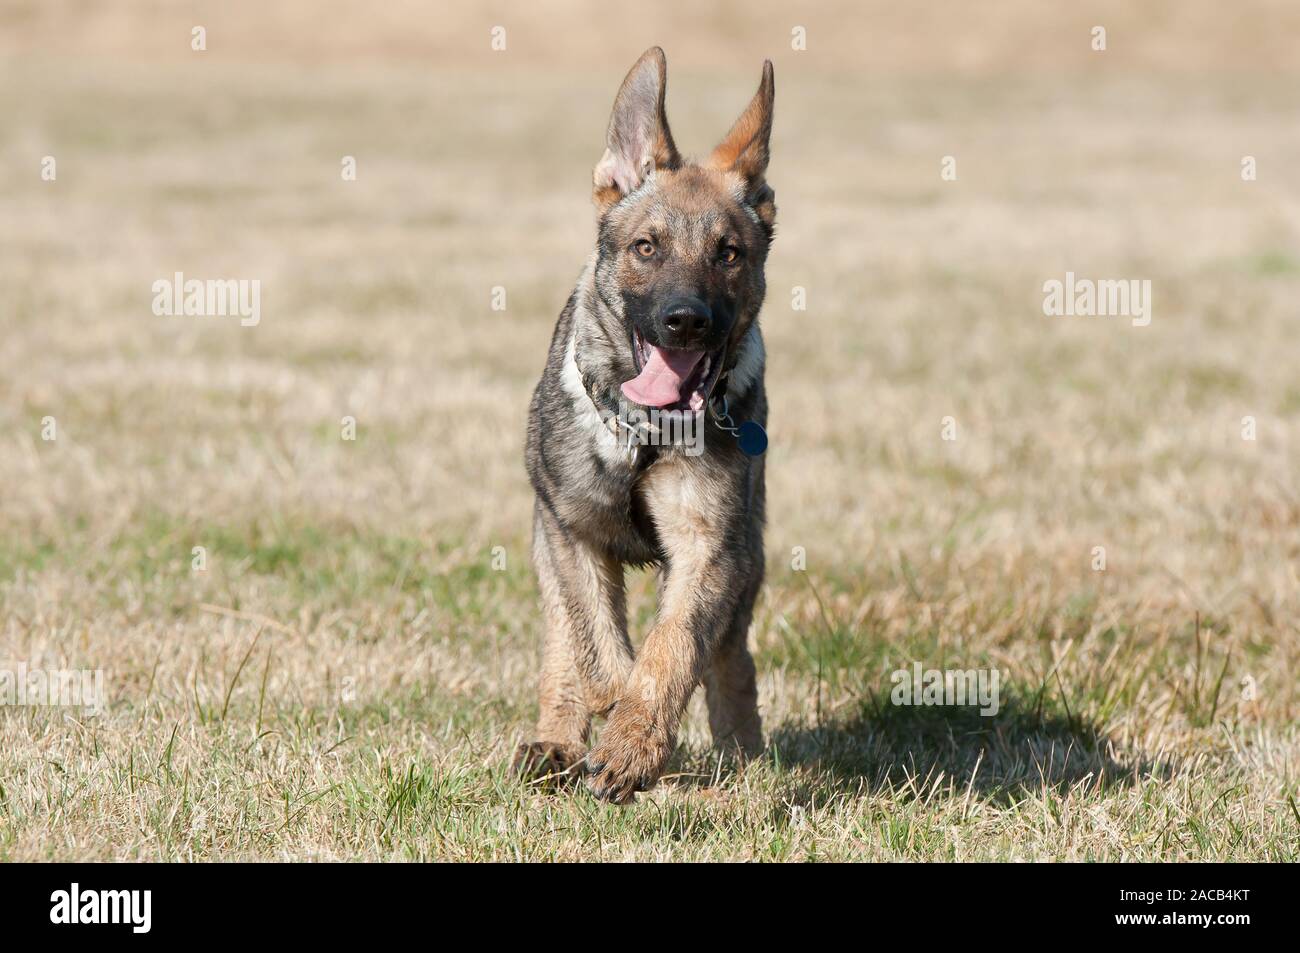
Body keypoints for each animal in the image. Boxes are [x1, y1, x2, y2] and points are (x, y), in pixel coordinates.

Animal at [517, 48, 774, 800]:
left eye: (728, 253)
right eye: (646, 248)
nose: (684, 320)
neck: (645, 436)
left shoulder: (709, 550)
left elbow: (672, 646)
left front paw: (634, 744)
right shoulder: (569, 532)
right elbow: (596, 645)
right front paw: (616, 722)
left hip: (748, 556)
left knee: (730, 660)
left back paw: (741, 755)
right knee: (563, 642)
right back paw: (556, 739)